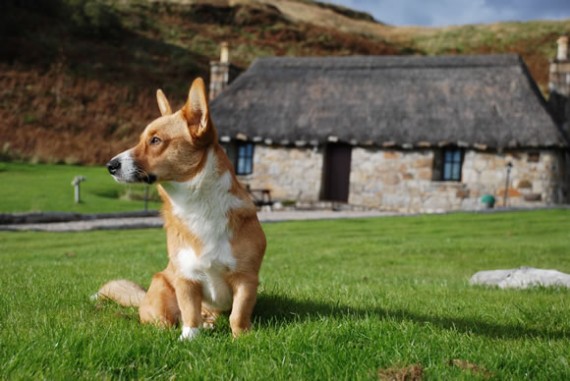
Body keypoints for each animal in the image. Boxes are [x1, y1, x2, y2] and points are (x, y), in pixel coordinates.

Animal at [96, 78, 266, 338]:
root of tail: (143, 297)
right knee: (167, 320)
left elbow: (237, 316)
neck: (198, 205)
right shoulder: (186, 279)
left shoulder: (246, 280)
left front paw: (242, 338)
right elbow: (189, 314)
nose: (110, 165)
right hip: (161, 289)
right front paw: (189, 338)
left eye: (155, 140)